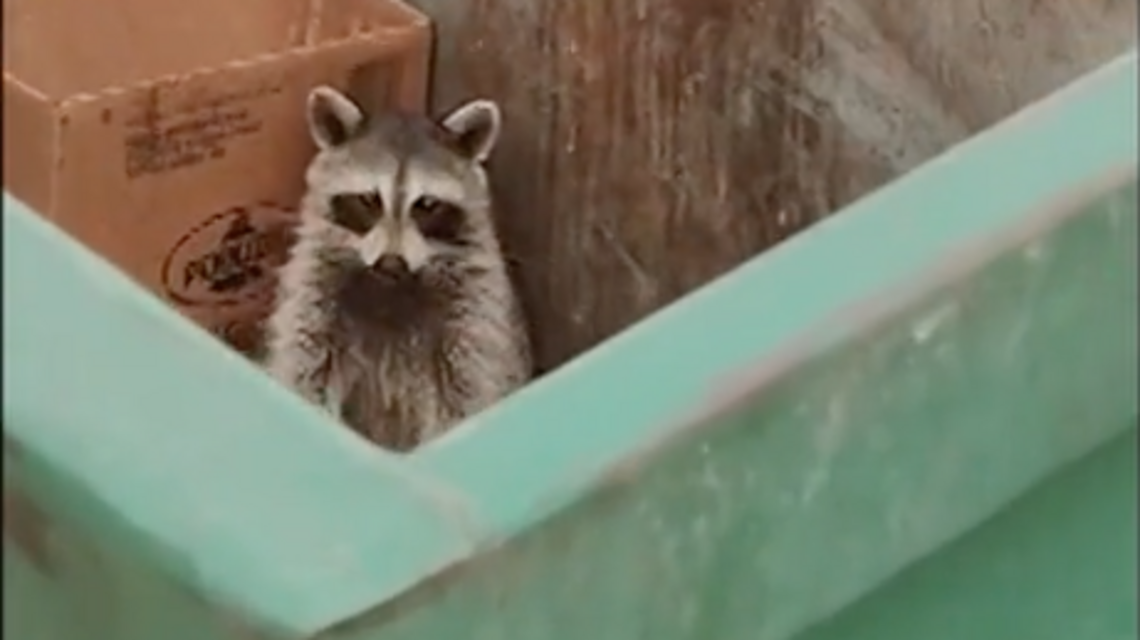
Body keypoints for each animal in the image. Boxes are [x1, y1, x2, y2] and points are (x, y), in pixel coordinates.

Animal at [263, 86, 532, 451]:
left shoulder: (476, 306)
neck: (391, 285)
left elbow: (468, 390)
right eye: (368, 200)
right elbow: (304, 368)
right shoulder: (314, 289)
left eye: (427, 205)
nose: (391, 262)